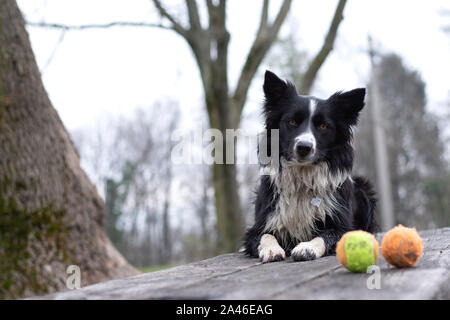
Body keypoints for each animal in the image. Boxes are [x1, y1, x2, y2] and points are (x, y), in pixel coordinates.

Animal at [243, 70, 376, 262]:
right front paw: (271, 249)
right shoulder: (258, 227)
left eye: (323, 126)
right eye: (292, 122)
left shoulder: (344, 227)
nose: (304, 147)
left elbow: (325, 235)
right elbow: (265, 235)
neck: (302, 177)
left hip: (364, 190)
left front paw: (307, 247)